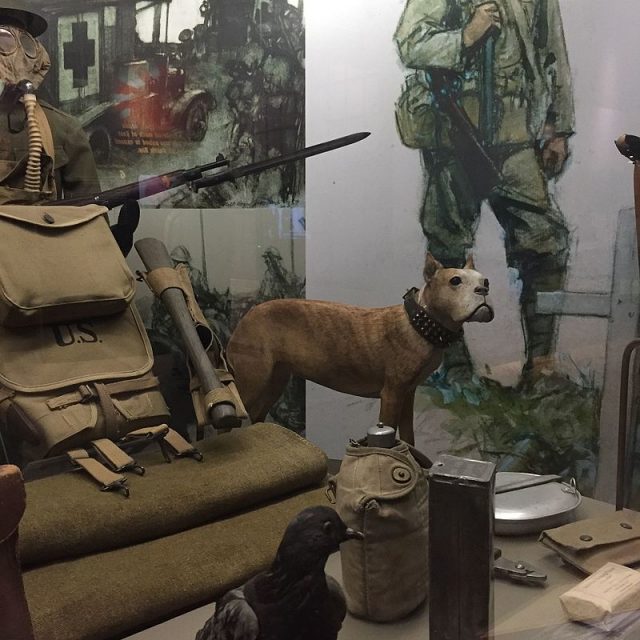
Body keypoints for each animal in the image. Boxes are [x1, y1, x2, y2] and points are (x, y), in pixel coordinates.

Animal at [226, 252, 496, 442]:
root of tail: (246, 316)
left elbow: (409, 438)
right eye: (455, 281)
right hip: (252, 381)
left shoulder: (407, 393)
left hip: (275, 379)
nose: (483, 289)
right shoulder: (391, 394)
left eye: (485, 280)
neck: (420, 323)